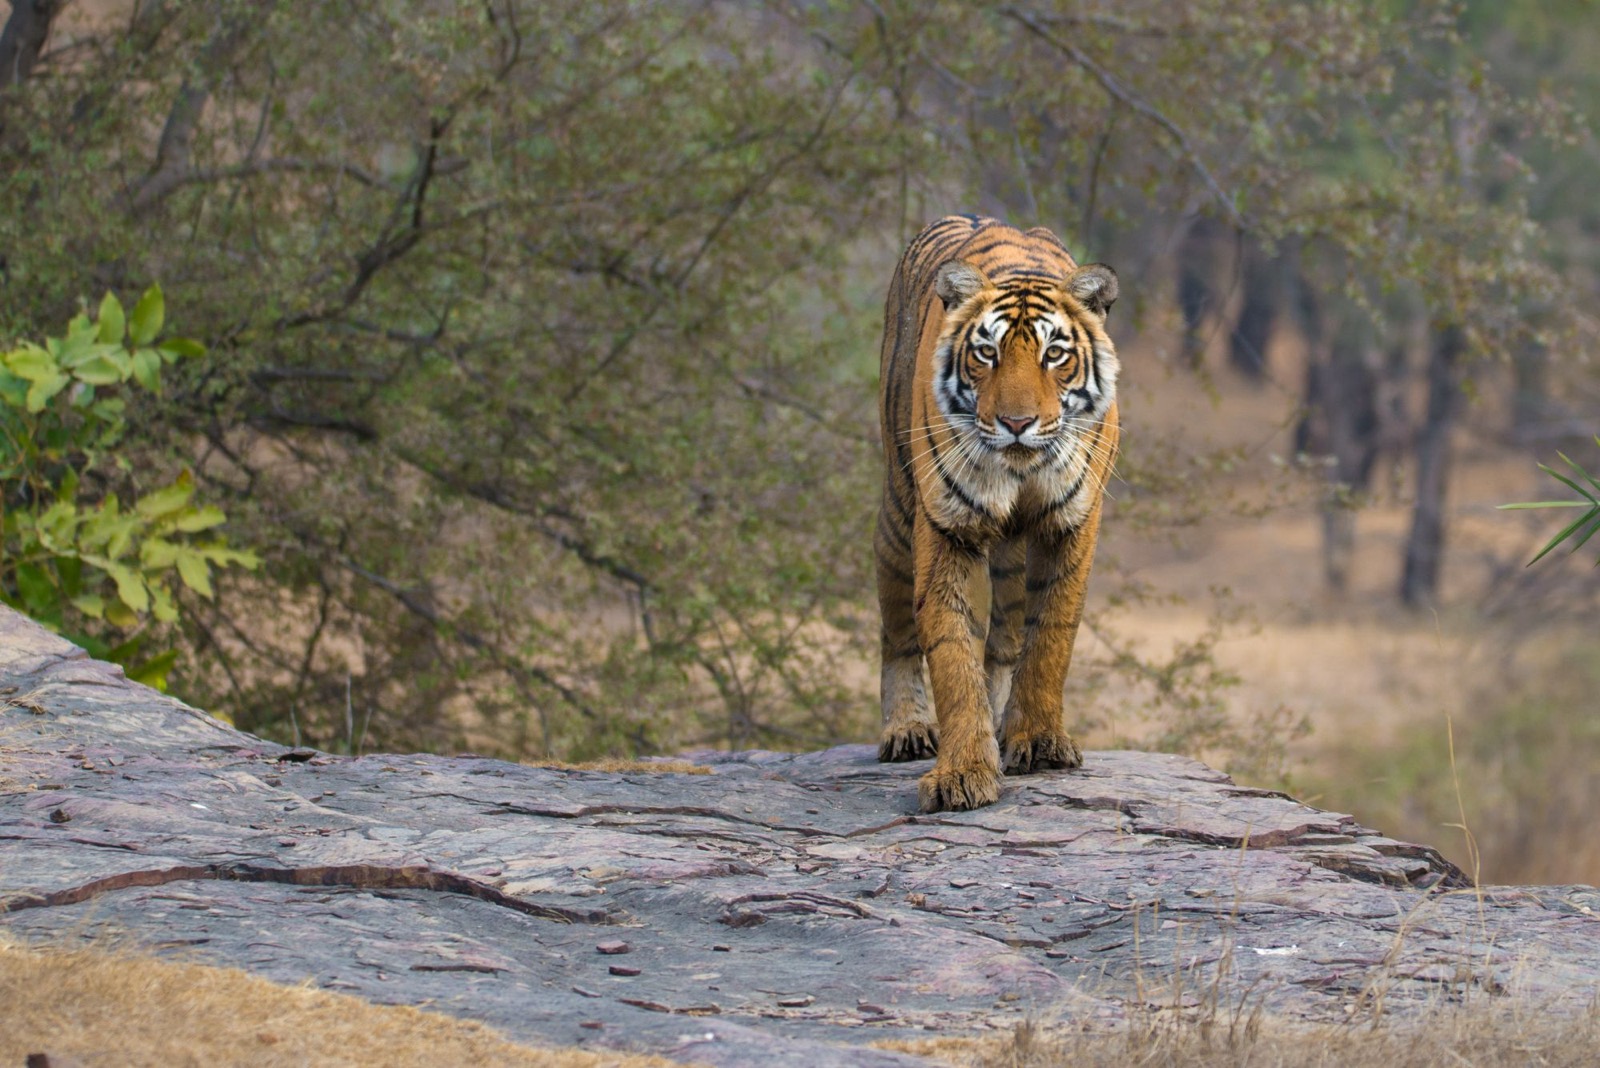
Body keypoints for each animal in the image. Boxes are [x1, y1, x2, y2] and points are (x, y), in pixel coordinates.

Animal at [874, 214, 1121, 813]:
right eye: (986, 353)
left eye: (1054, 354)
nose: (1016, 423)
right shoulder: (945, 528)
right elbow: (951, 651)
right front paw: (963, 771)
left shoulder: (1072, 524)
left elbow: (1050, 636)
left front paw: (1039, 739)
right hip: (897, 511)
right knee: (897, 632)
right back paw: (906, 729)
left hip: (1011, 552)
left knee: (1008, 638)